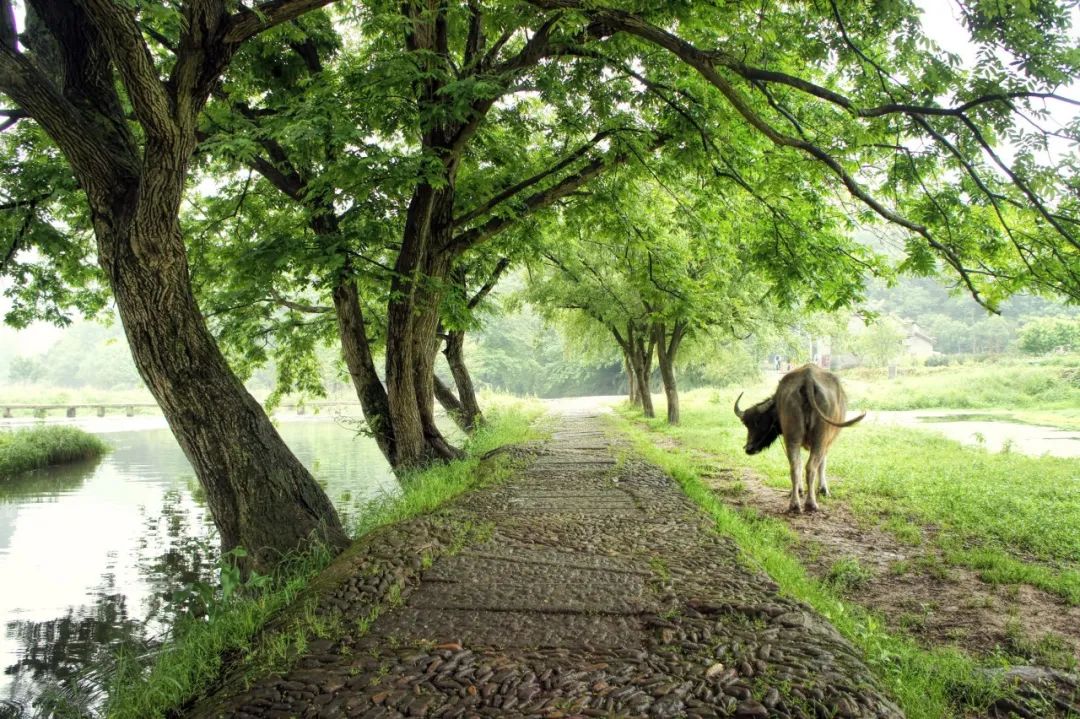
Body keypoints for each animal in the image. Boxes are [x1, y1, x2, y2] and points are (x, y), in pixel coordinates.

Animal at [730, 364, 864, 509]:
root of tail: (808, 378)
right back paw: (811, 503)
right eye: (747, 424)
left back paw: (795, 503)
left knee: (795, 466)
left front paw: (800, 490)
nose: (748, 448)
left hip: (792, 437)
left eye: (758, 422)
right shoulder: (827, 443)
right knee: (810, 466)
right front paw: (823, 489)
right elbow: (822, 463)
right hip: (819, 439)